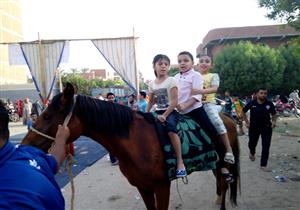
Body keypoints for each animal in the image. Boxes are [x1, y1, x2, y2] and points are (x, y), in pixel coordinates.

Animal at [21, 83, 240, 210]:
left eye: (47, 116)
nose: (25, 143)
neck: (137, 142)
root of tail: (226, 118)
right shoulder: (143, 187)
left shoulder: (162, 186)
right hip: (216, 163)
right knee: (220, 181)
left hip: (223, 160)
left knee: (224, 182)